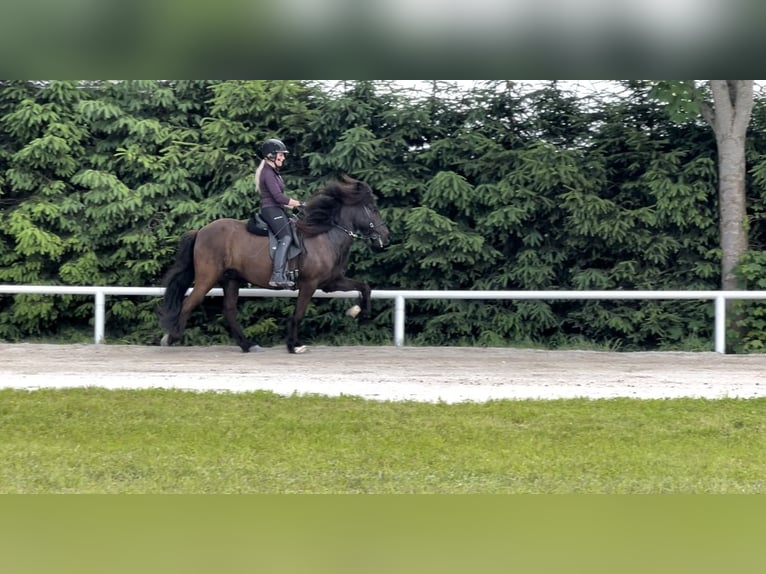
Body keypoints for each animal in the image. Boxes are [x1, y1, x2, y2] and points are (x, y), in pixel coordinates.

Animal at [160, 178, 392, 354]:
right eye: (373, 209)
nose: (386, 237)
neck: (325, 236)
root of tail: (200, 231)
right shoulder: (309, 284)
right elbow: (299, 313)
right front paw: (293, 346)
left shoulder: (331, 282)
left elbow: (364, 286)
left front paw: (358, 311)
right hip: (207, 277)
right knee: (189, 303)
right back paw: (171, 338)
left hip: (231, 279)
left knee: (229, 310)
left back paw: (247, 345)